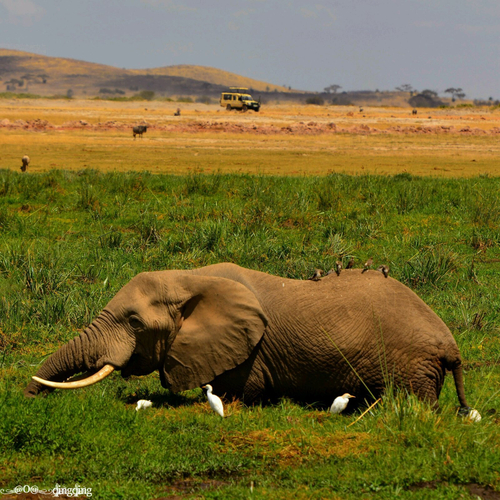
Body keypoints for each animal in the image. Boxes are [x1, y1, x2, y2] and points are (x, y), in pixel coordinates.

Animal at [25, 262, 470, 410]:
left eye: (134, 323)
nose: (28, 399)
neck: (190, 277)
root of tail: (450, 345)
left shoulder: (249, 351)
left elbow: (236, 393)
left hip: (410, 364)